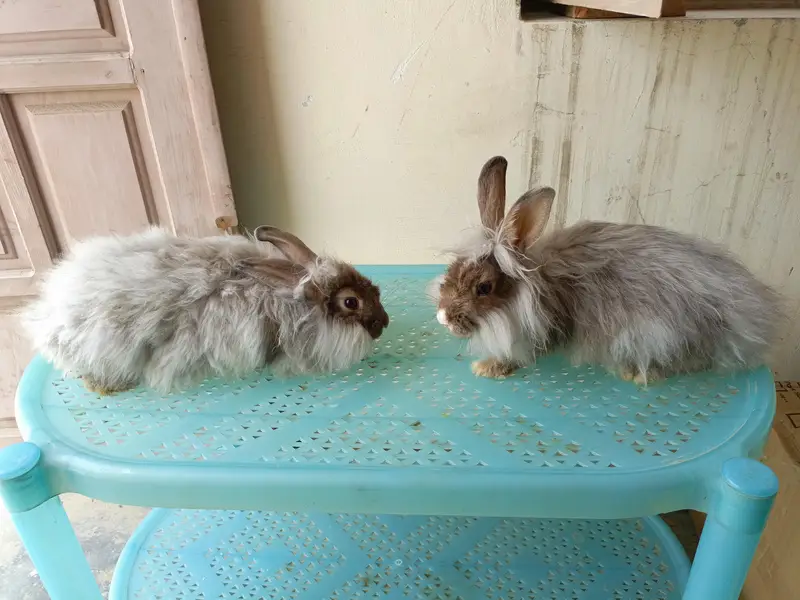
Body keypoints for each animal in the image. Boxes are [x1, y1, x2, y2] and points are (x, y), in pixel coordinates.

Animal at [432, 155, 783, 384]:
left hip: (669, 335)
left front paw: (487, 368)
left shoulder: (538, 336)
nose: (442, 317)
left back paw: (638, 375)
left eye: (484, 288)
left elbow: (519, 357)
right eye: (451, 271)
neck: (530, 291)